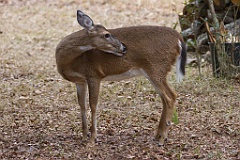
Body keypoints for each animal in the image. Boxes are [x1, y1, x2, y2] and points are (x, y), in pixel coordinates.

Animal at [55, 9, 187, 146]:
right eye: (107, 35)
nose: (124, 47)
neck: (69, 61)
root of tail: (179, 38)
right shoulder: (80, 81)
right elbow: (82, 104)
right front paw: (84, 136)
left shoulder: (94, 75)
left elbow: (93, 105)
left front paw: (92, 139)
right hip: (155, 72)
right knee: (165, 98)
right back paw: (158, 136)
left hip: (156, 68)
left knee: (170, 96)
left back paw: (162, 139)